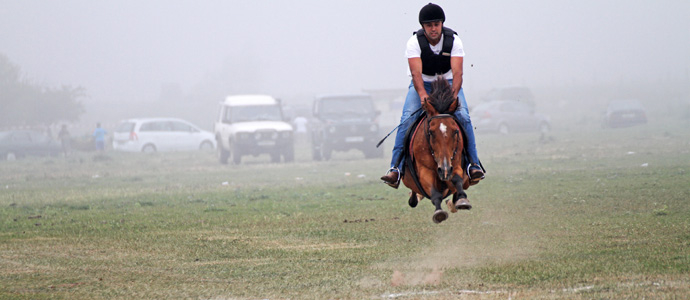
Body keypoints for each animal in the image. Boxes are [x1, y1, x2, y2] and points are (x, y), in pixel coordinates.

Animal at [400, 76, 470, 224]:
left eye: (455, 131)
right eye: (431, 132)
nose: (444, 169)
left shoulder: (455, 165)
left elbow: (457, 180)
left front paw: (462, 200)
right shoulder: (425, 171)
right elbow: (434, 192)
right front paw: (439, 212)